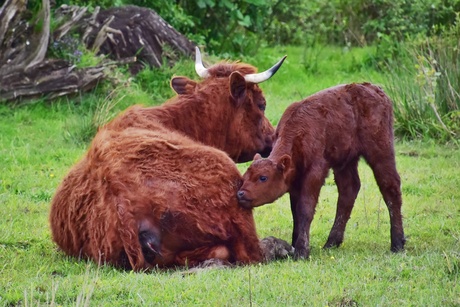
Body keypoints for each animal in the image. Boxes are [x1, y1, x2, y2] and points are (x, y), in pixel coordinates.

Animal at [237, 82, 406, 260]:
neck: (299, 132)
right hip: (345, 161)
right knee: (349, 190)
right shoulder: (295, 181)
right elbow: (295, 212)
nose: (240, 194)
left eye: (263, 177)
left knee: (390, 187)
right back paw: (331, 242)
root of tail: (376, 89)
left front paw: (302, 250)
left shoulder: (315, 173)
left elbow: (305, 208)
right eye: (244, 177)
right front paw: (294, 245)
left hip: (380, 151)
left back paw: (397, 243)